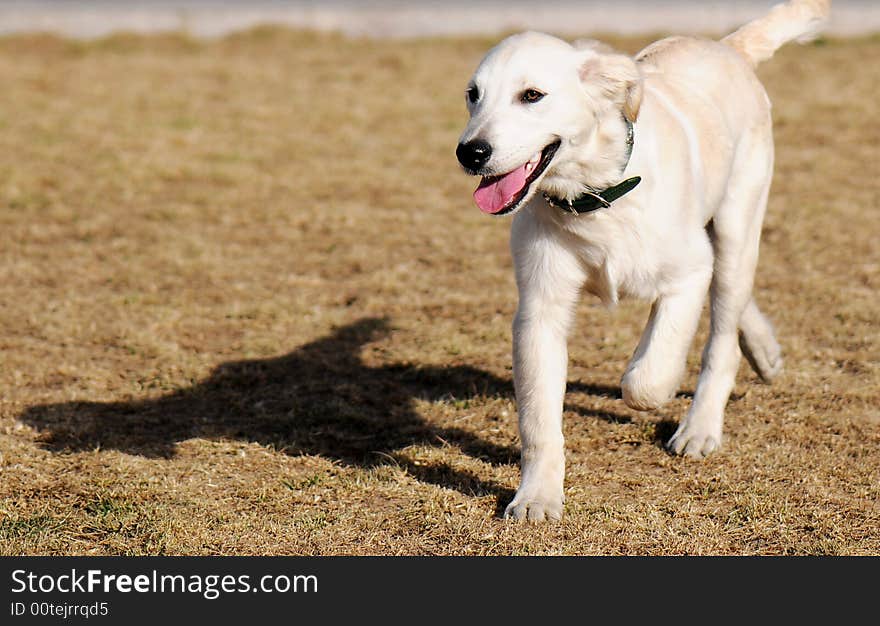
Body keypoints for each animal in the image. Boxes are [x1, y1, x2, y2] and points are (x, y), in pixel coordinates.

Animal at [458, 0, 828, 520]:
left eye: (532, 95)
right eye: (473, 95)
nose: (469, 152)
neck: (593, 196)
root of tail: (726, 47)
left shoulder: (690, 272)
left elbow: (647, 378)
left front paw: (652, 378)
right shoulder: (539, 311)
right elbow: (538, 421)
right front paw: (536, 497)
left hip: (736, 231)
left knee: (722, 337)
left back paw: (699, 427)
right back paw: (764, 349)